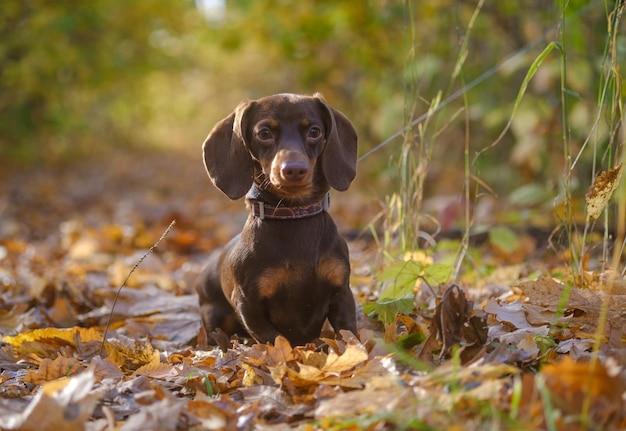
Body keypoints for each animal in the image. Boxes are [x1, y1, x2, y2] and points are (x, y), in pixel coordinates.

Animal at [197, 94, 358, 348]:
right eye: (264, 133)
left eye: (314, 131)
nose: (293, 170)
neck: (293, 214)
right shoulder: (249, 305)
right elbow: (276, 340)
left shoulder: (342, 293)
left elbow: (349, 334)